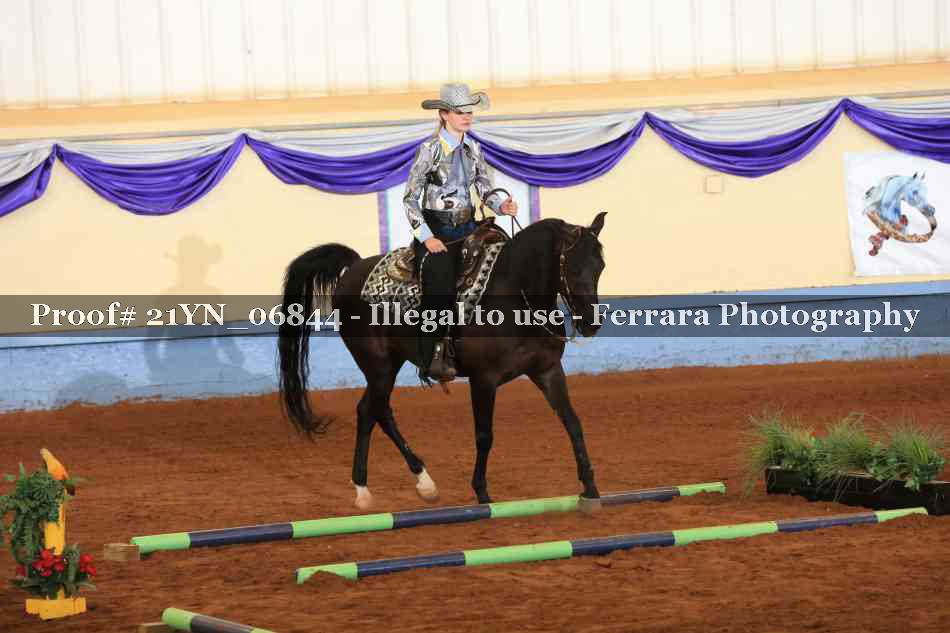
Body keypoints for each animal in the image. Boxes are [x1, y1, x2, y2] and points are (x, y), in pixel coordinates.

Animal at [277, 212, 607, 512]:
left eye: (600, 266)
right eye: (573, 267)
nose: (591, 323)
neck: (515, 296)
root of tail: (354, 268)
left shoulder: (547, 370)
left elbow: (573, 423)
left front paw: (590, 488)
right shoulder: (483, 379)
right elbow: (484, 435)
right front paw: (482, 493)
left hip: (390, 364)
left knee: (374, 410)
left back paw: (416, 484)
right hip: (377, 365)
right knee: (373, 411)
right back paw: (371, 489)